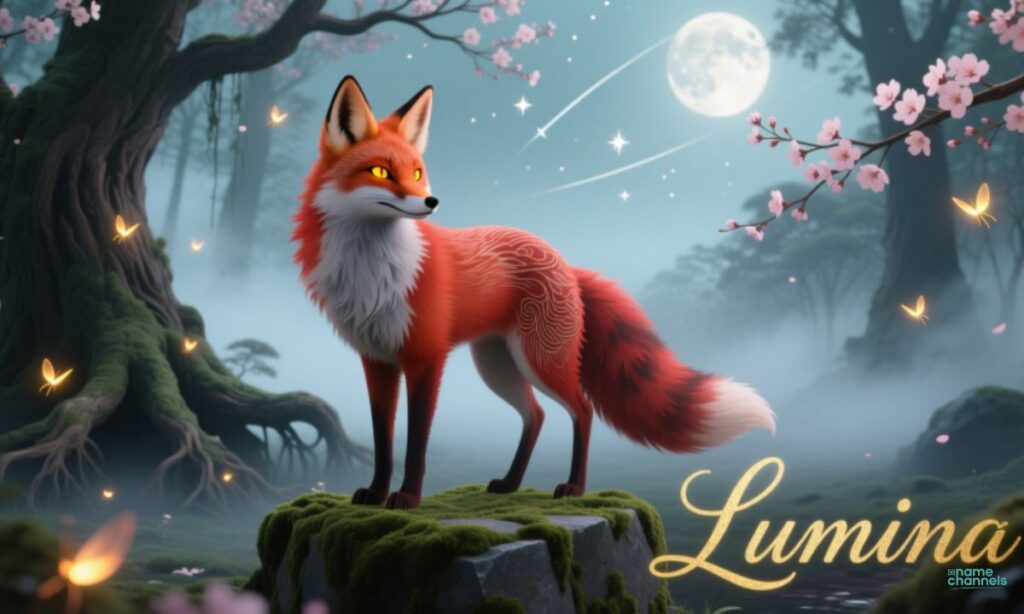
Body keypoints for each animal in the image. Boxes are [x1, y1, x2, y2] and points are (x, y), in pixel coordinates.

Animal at [293, 76, 777, 510]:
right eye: (380, 171)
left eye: (416, 172)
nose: (431, 202)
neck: (374, 270)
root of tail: (564, 261)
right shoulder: (376, 360)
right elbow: (382, 439)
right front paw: (375, 494)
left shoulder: (425, 358)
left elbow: (415, 444)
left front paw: (407, 499)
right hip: (498, 365)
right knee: (537, 415)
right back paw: (510, 483)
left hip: (541, 360)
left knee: (582, 409)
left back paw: (574, 488)